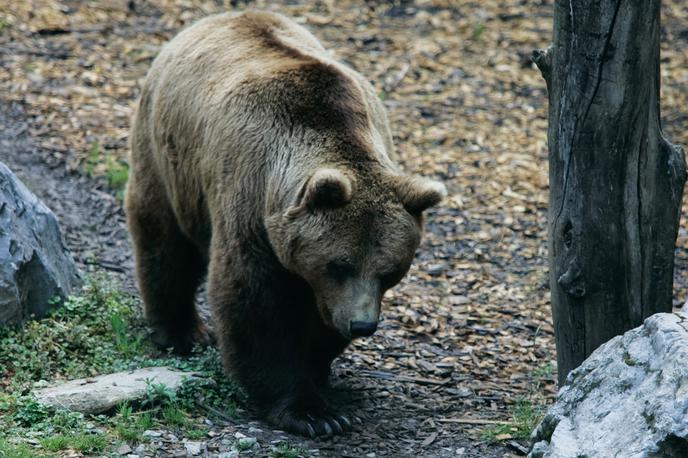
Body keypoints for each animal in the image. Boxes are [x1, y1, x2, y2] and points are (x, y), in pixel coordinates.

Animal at [123, 11, 446, 436]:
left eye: (391, 271)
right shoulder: (251, 198)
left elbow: (318, 316)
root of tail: (216, 17)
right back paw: (182, 332)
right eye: (339, 264)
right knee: (165, 238)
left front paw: (318, 366)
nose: (362, 325)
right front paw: (313, 413)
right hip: (168, 156)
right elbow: (255, 300)